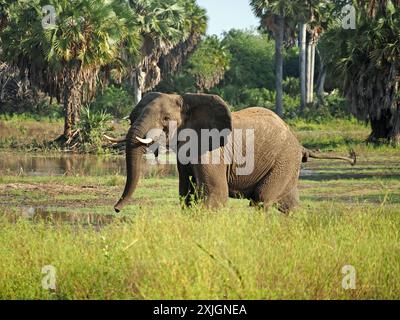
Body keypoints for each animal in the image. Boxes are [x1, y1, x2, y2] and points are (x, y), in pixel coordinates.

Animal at [113, 92, 356, 212]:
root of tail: (301, 146)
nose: (116, 209)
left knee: (262, 199)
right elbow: (187, 196)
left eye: (165, 119)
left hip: (283, 161)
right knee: (288, 204)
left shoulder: (212, 150)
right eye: (132, 117)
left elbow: (215, 195)